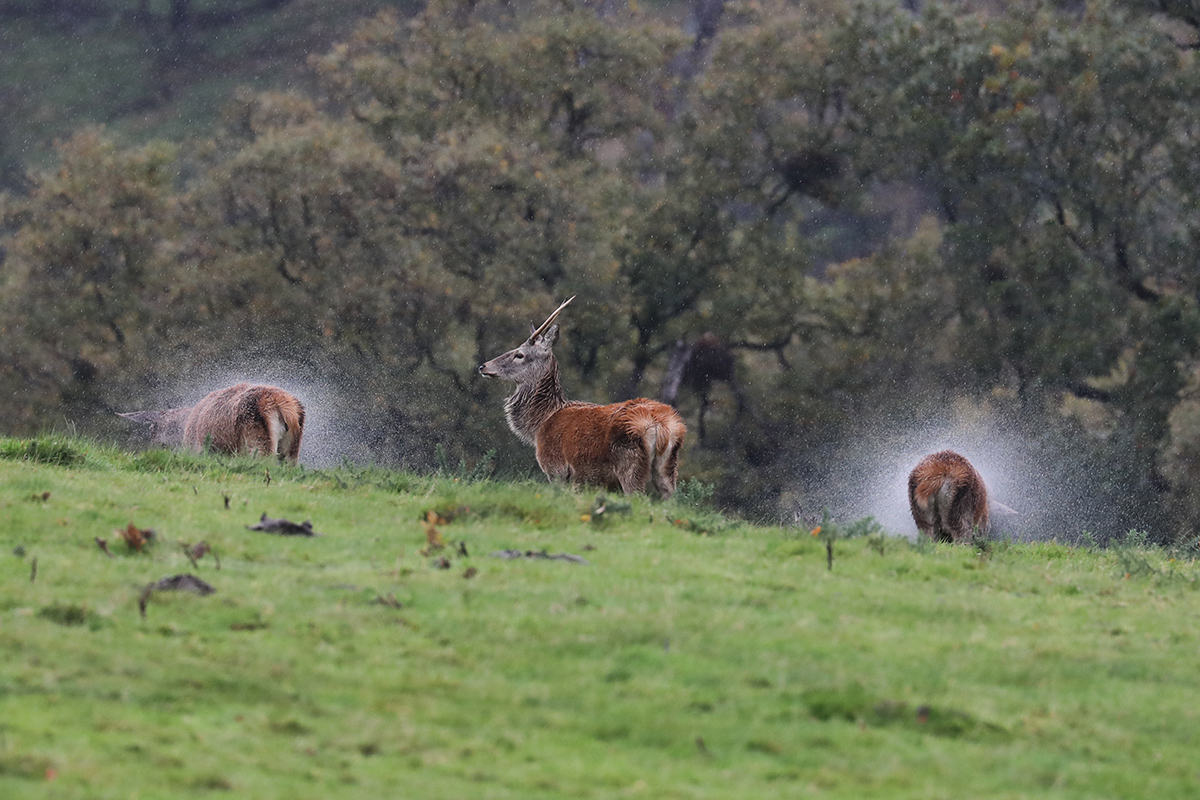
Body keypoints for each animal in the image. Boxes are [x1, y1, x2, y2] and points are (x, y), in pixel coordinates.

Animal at [477, 298, 686, 496]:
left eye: (519, 354)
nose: (483, 366)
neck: (540, 424)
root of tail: (662, 425)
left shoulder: (556, 469)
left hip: (630, 464)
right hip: (668, 468)